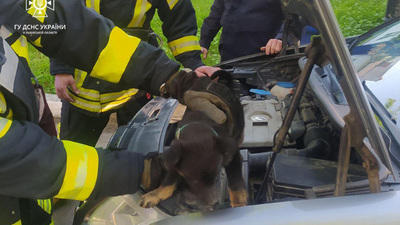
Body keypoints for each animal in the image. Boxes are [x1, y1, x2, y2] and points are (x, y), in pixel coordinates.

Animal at [140, 71, 247, 209]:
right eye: (194, 180)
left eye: (216, 176)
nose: (214, 203)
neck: (198, 128)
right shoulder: (175, 161)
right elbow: (168, 182)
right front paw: (154, 195)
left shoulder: (233, 154)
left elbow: (235, 179)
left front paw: (238, 201)